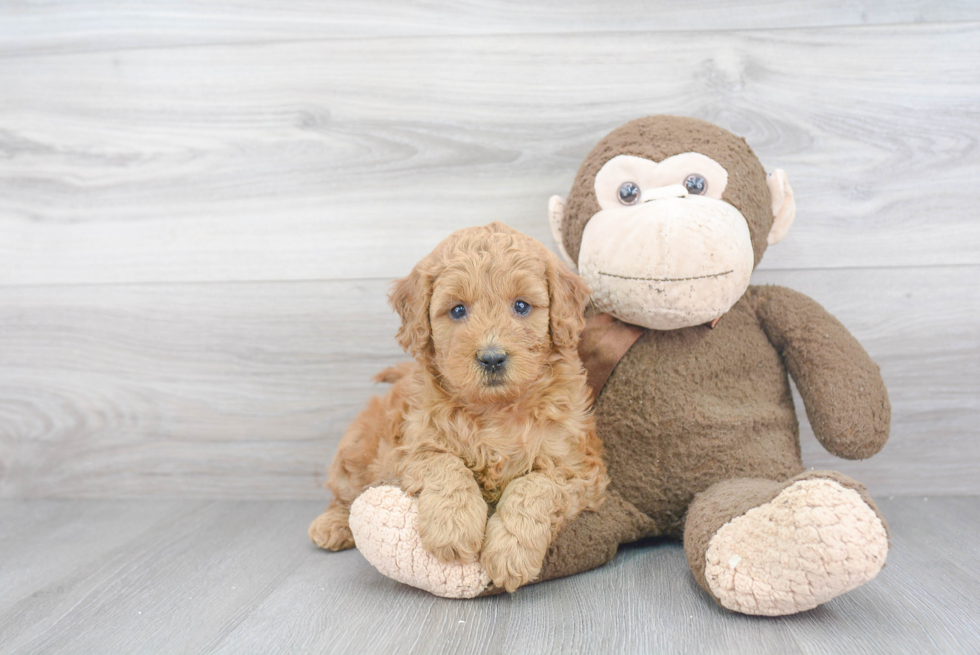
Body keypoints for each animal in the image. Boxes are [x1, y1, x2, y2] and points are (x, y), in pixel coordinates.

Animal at [310, 222, 608, 596]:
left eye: (521, 306)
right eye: (457, 310)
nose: (492, 357)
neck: (494, 410)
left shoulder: (578, 469)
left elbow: (534, 486)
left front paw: (510, 551)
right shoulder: (410, 449)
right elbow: (446, 464)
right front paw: (453, 529)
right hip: (357, 450)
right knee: (344, 494)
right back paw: (332, 525)